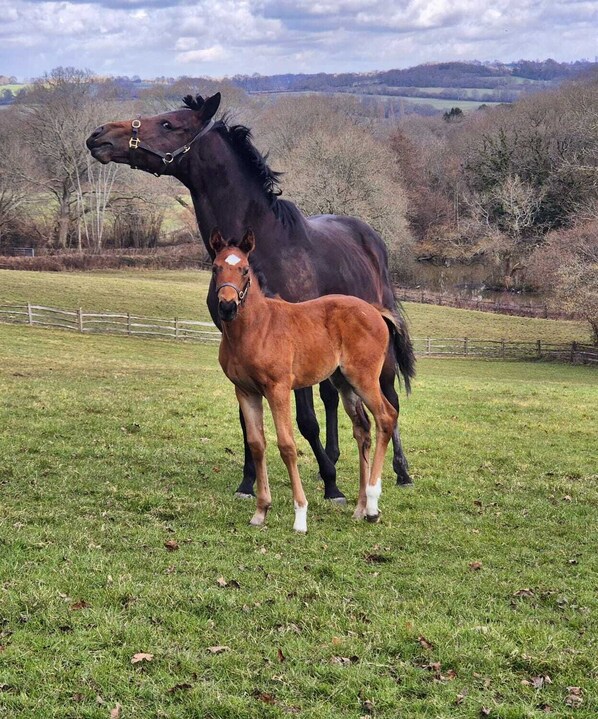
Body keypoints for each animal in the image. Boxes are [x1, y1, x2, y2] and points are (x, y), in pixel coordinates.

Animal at [211, 228, 399, 533]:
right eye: (216, 268)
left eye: (244, 269)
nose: (227, 306)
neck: (257, 327)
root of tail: (375, 311)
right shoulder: (246, 391)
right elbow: (257, 444)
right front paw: (260, 511)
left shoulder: (278, 389)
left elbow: (287, 445)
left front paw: (300, 516)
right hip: (344, 382)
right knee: (363, 429)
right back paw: (360, 508)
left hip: (364, 378)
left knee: (386, 417)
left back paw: (372, 504)